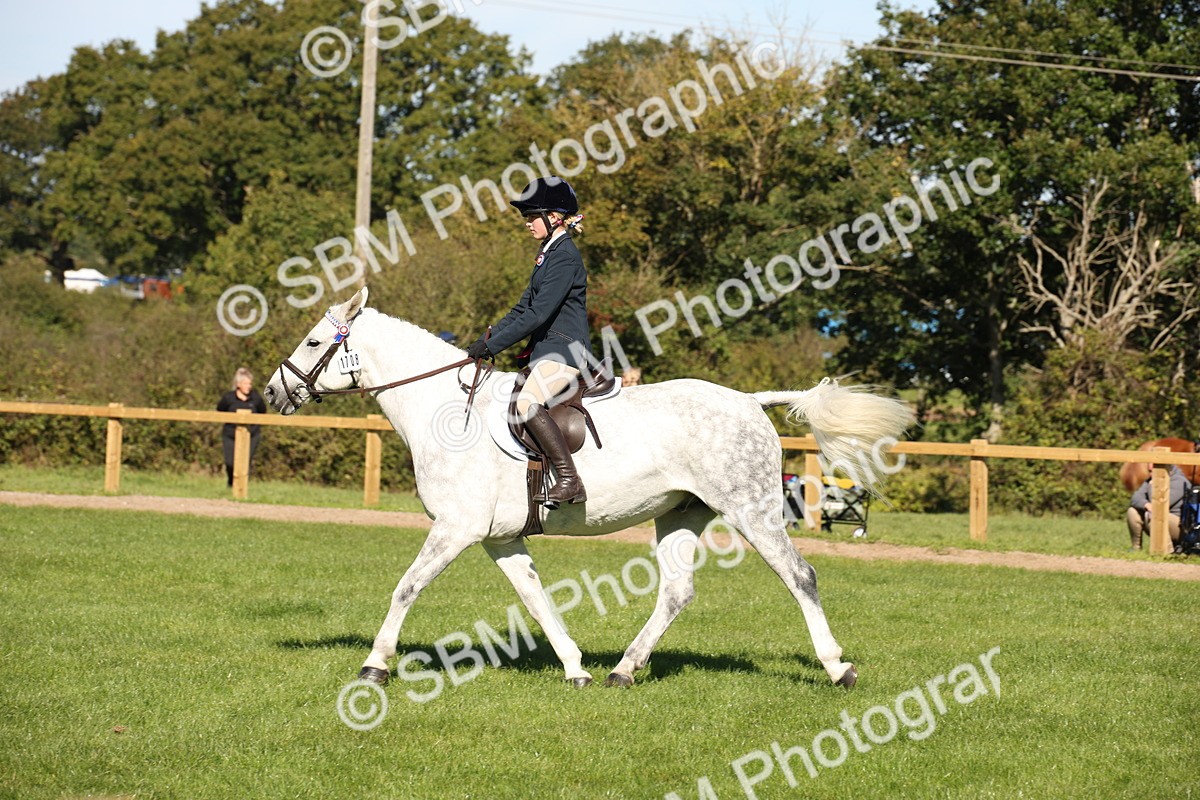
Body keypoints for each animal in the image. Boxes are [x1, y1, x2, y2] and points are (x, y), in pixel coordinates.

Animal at [264, 288, 914, 689]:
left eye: (315, 343)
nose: (273, 392)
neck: (443, 411)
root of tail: (750, 401)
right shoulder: (498, 539)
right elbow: (535, 599)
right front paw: (575, 668)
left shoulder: (455, 529)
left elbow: (406, 587)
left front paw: (375, 665)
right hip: (681, 514)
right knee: (676, 592)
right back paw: (622, 670)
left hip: (751, 511)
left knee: (800, 577)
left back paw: (838, 668)